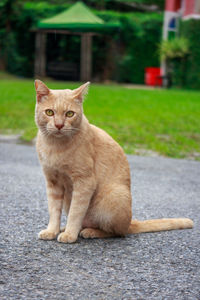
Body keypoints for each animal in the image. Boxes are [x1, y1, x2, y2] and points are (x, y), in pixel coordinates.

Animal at [34, 80, 194, 244]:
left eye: (69, 114)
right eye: (49, 112)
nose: (59, 125)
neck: (55, 147)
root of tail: (130, 223)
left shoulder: (84, 182)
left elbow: (76, 212)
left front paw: (70, 234)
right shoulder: (53, 182)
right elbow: (54, 211)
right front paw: (52, 231)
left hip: (115, 196)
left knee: (116, 232)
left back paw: (89, 231)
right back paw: (64, 228)